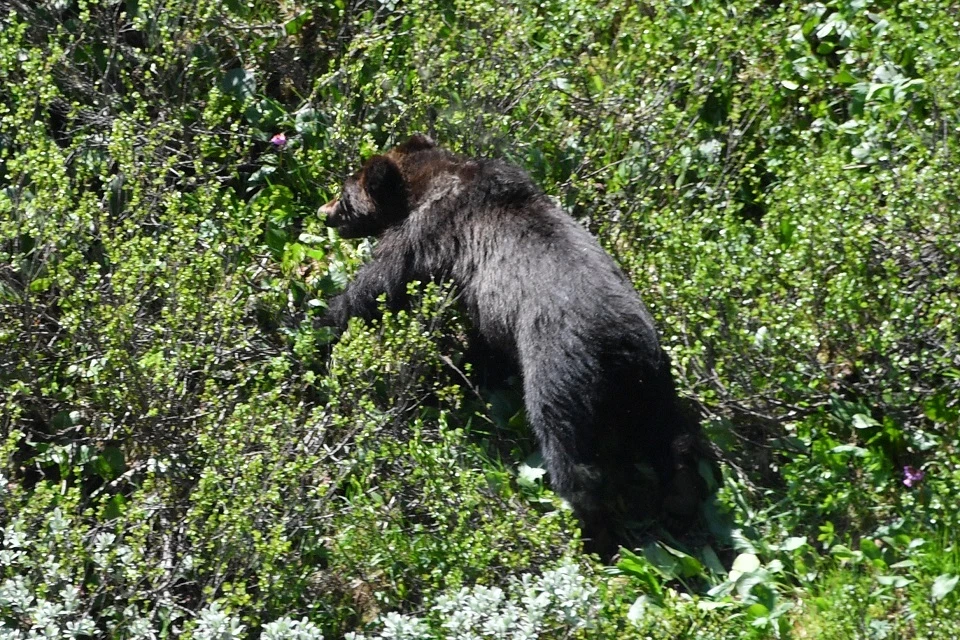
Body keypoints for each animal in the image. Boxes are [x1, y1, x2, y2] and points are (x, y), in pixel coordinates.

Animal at [318, 134, 700, 556]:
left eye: (344, 193)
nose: (324, 212)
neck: (428, 184)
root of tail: (620, 342)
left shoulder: (433, 234)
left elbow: (381, 284)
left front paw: (321, 321)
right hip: (651, 376)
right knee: (669, 433)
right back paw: (681, 500)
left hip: (558, 368)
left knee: (569, 449)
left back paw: (591, 532)